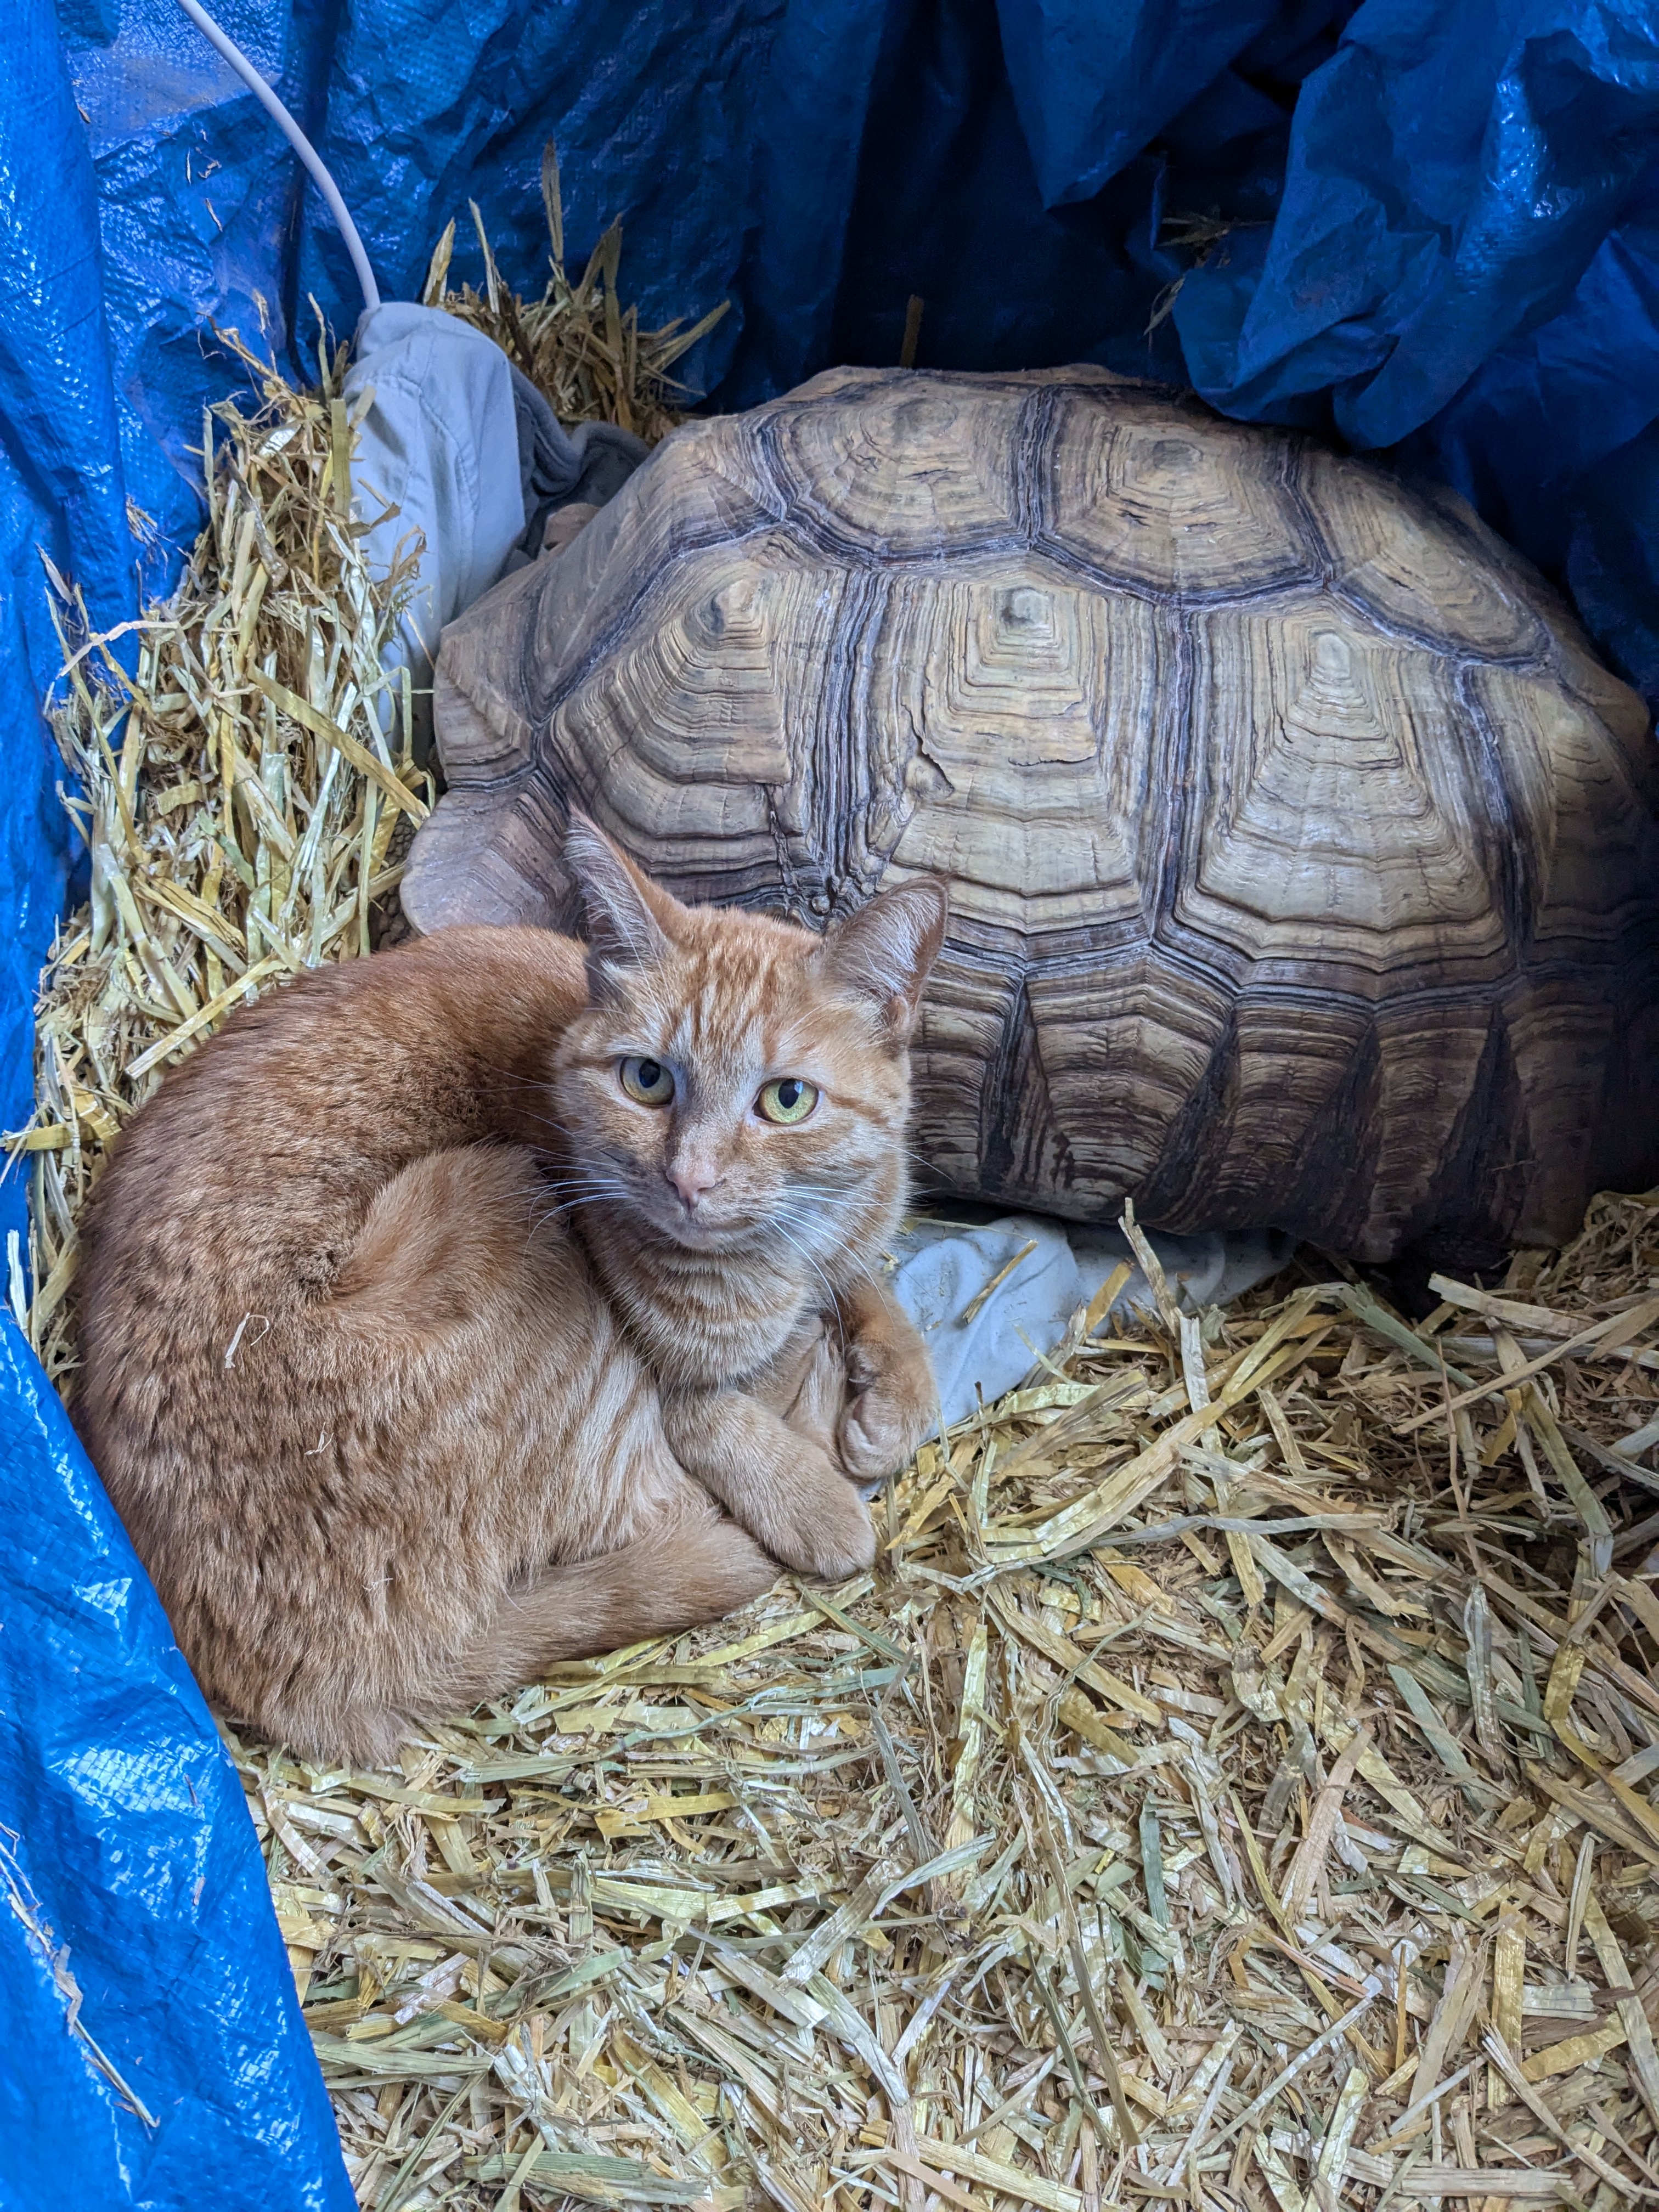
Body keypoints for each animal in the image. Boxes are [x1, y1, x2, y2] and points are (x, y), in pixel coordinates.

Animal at [75, 818, 946, 1760]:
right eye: (646, 1080)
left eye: (786, 1100)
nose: (690, 1181)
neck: (781, 1254)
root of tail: (314, 1694)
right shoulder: (668, 1383)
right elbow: (723, 1417)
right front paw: (818, 1493)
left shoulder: (847, 1247)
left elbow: (875, 1293)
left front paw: (893, 1393)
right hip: (498, 1197)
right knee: (676, 1513)